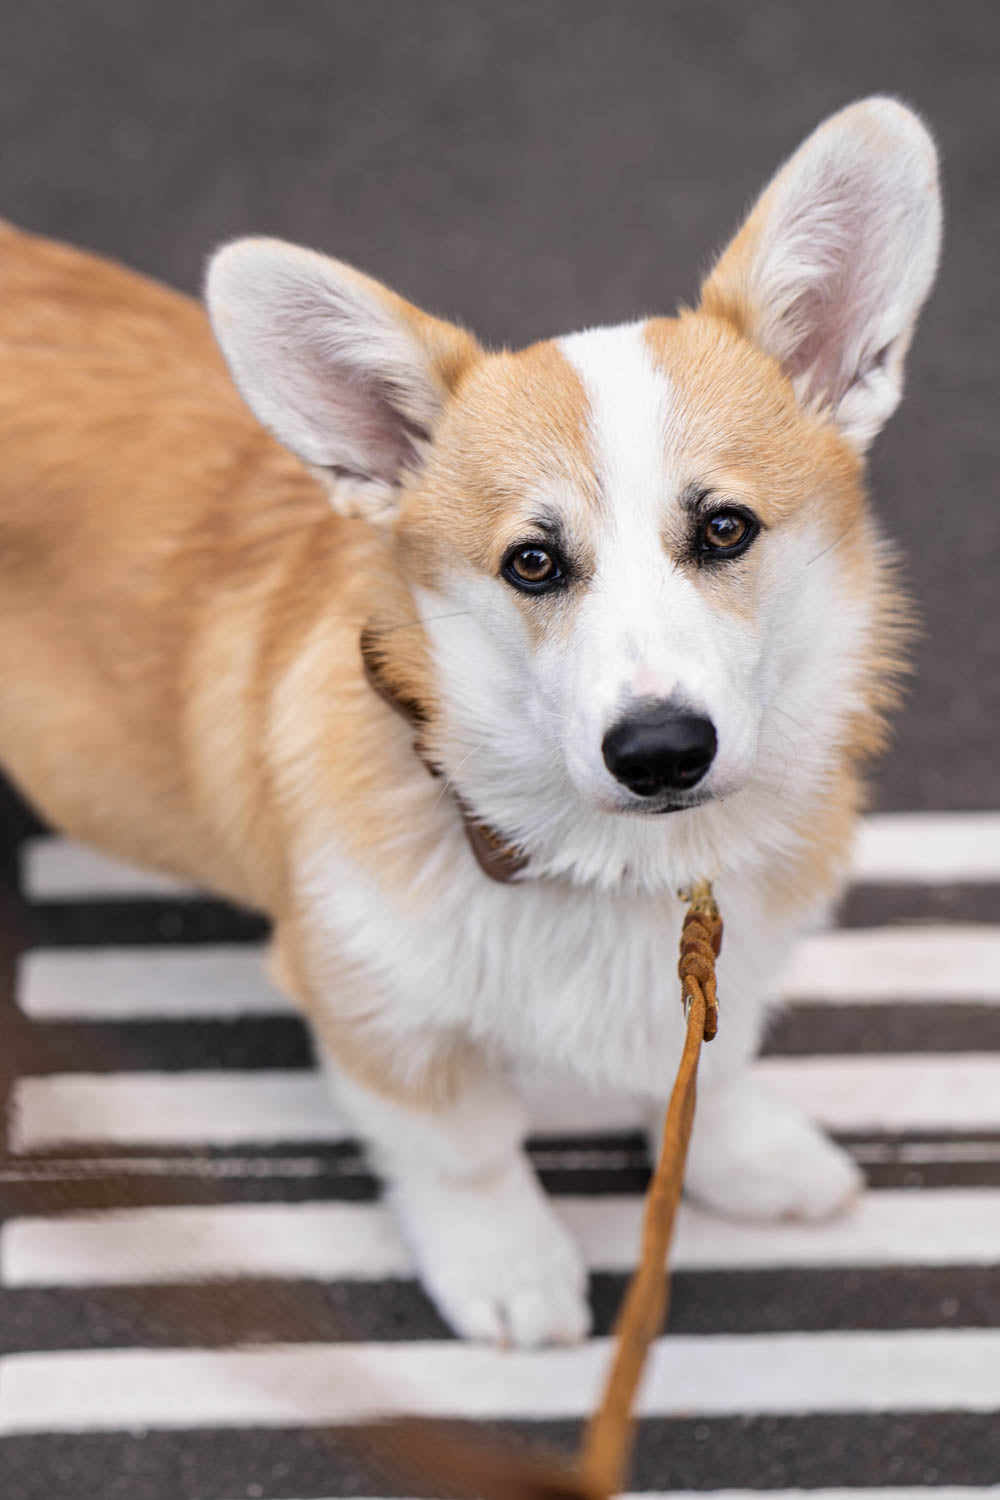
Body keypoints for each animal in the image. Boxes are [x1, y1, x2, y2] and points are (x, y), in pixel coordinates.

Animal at [0, 99, 941, 1356]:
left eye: (725, 529)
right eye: (531, 563)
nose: (659, 753)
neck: (600, 861)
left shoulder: (722, 965)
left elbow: (717, 1066)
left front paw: (747, 1157)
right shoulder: (374, 1006)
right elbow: (464, 1152)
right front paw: (509, 1269)